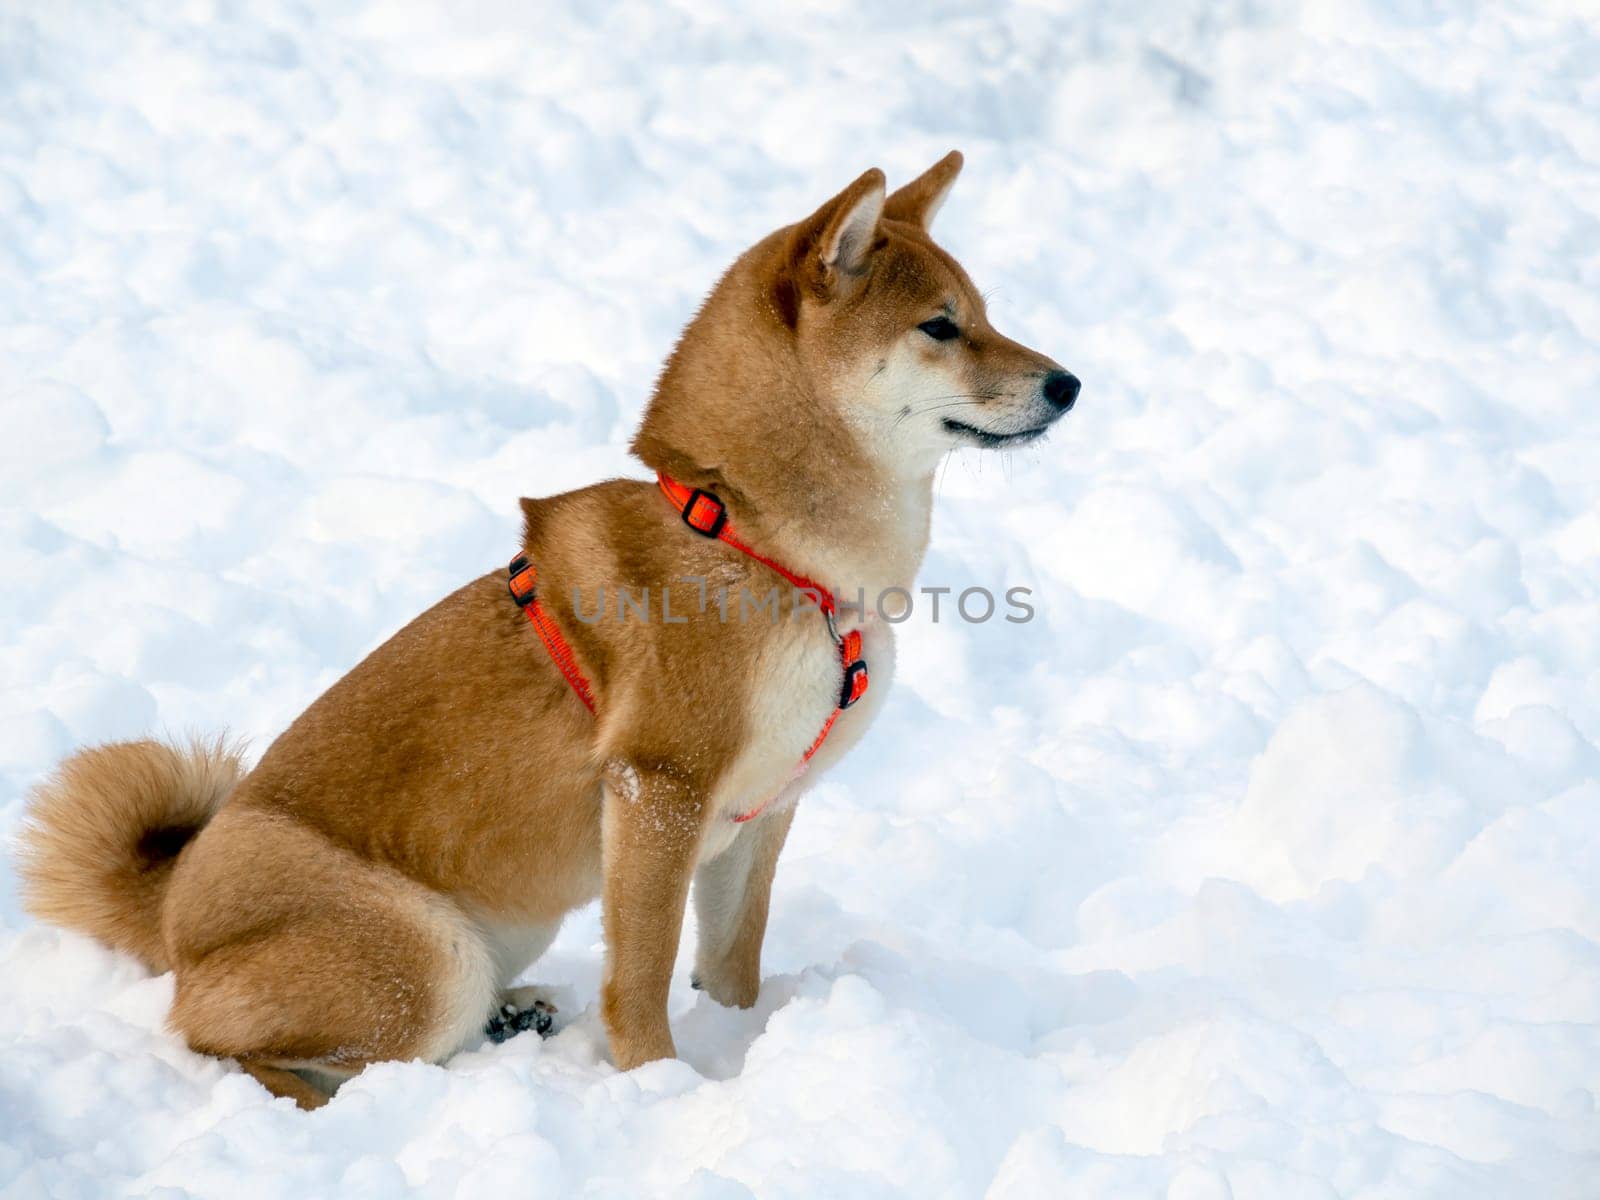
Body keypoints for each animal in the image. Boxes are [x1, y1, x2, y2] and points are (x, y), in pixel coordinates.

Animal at [15, 155, 1075, 1113]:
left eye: (985, 315)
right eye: (941, 326)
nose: (1068, 384)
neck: (754, 541)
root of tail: (172, 913)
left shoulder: (762, 812)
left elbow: (732, 962)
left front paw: (744, 1046)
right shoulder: (658, 790)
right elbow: (641, 978)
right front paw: (659, 1090)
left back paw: (511, 1013)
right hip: (422, 956)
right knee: (223, 1047)